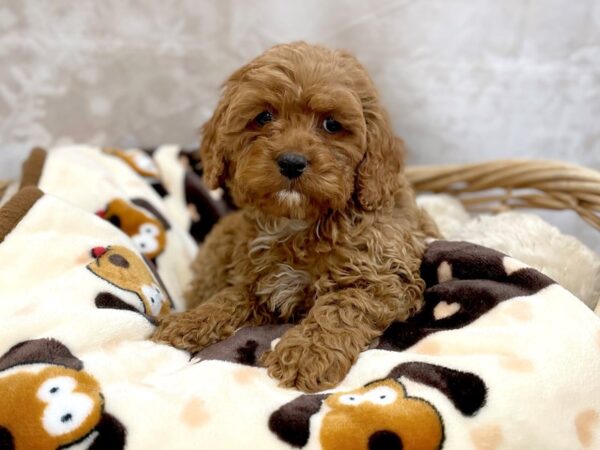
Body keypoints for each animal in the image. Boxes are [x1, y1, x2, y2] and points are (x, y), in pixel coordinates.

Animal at [152, 43, 438, 394]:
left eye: (331, 125)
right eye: (264, 116)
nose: (291, 162)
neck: (298, 222)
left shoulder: (384, 278)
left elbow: (342, 305)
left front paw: (307, 353)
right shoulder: (258, 283)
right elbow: (230, 296)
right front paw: (191, 320)